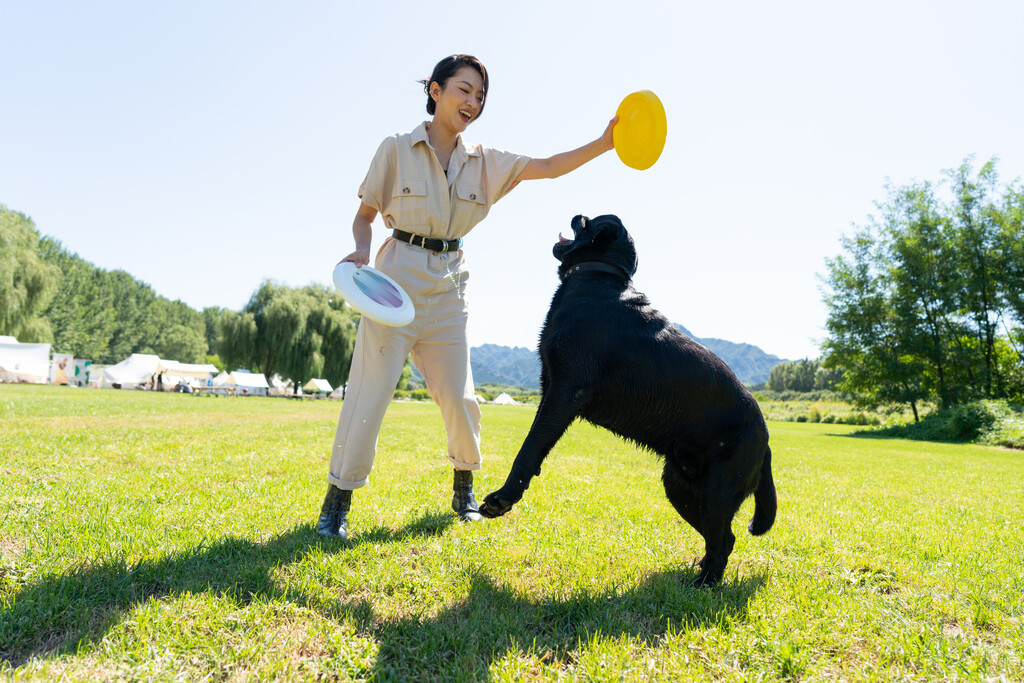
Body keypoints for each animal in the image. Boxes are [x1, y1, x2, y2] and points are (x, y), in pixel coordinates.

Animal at [479, 215, 774, 589]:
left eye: (587, 221)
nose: (575, 214)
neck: (598, 276)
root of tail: (766, 440)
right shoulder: (553, 391)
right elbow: (536, 448)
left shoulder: (566, 389)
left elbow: (528, 448)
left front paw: (503, 498)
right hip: (679, 486)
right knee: (720, 538)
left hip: (716, 491)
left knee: (724, 539)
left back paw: (704, 584)